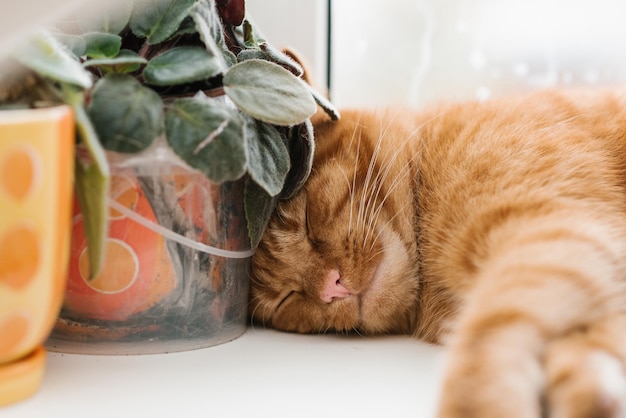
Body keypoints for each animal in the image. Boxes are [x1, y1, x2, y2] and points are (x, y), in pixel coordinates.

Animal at [245, 89, 626, 418]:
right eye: (286, 299)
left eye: (308, 221)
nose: (331, 288)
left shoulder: (556, 229)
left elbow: (486, 341)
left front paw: (482, 406)